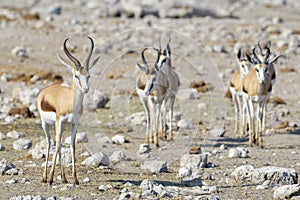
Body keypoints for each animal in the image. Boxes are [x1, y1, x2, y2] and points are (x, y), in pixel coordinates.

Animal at [37, 37, 99, 184]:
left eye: (88, 75)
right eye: (76, 75)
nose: (86, 89)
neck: (70, 103)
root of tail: (45, 91)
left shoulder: (74, 124)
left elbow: (72, 145)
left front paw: (75, 179)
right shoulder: (59, 121)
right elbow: (57, 143)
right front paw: (51, 178)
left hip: (62, 126)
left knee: (58, 144)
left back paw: (64, 178)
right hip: (46, 124)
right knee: (50, 143)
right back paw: (45, 177)